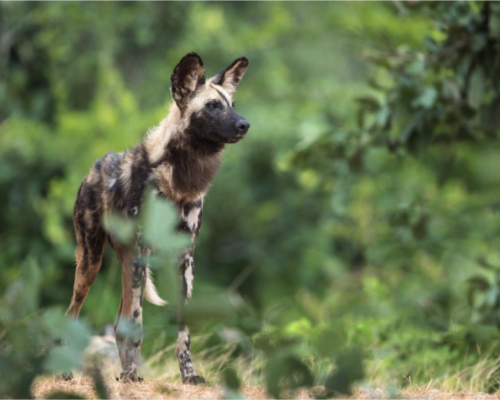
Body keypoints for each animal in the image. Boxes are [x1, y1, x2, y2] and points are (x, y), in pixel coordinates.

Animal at [66, 51, 250, 382]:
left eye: (232, 104)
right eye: (212, 106)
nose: (245, 124)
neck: (180, 177)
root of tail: (95, 167)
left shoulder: (184, 259)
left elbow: (182, 331)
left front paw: (188, 374)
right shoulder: (142, 252)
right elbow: (138, 324)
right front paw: (131, 374)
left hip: (125, 263)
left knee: (119, 325)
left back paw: (126, 373)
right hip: (91, 262)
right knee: (73, 314)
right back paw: (73, 372)